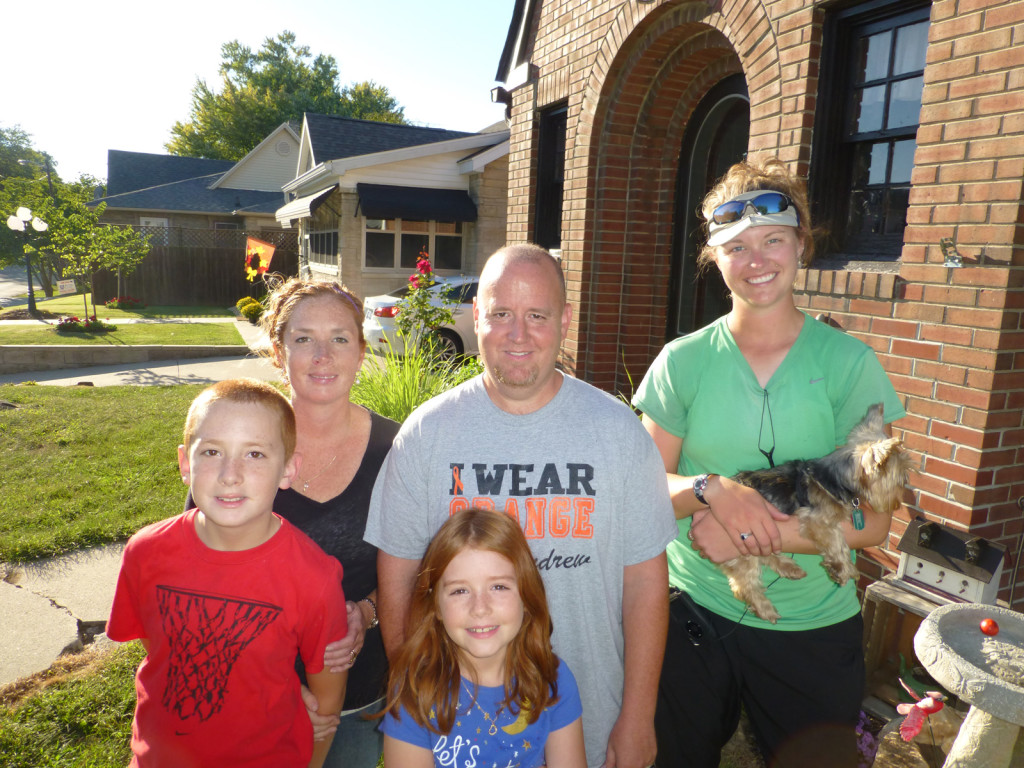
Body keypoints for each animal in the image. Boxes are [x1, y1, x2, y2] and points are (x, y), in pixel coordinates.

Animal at [720, 403, 913, 626]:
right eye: (901, 478)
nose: (897, 504)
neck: (833, 479)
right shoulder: (816, 520)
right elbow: (837, 541)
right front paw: (842, 569)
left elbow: (841, 541)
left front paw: (841, 568)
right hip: (742, 546)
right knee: (744, 585)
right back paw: (765, 609)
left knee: (765, 556)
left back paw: (790, 568)